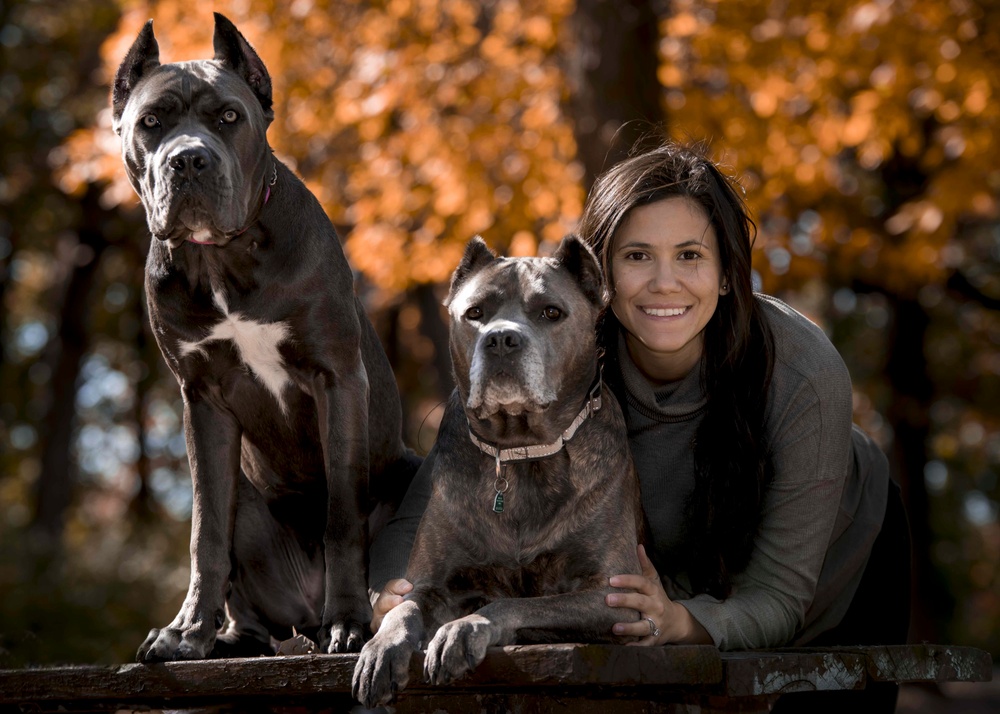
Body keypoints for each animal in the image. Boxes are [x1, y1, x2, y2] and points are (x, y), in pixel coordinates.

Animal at [112, 12, 418, 656]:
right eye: (151, 123)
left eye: (229, 116)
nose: (188, 160)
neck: (222, 260)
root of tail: (304, 612)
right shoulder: (202, 397)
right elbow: (206, 530)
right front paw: (186, 631)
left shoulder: (337, 377)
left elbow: (342, 517)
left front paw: (349, 620)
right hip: (250, 506)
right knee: (241, 581)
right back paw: (227, 636)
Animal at [356, 235, 644, 708]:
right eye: (474, 313)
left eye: (551, 312)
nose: (502, 339)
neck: (517, 452)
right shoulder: (430, 583)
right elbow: (404, 608)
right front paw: (381, 648)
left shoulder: (616, 593)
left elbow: (521, 604)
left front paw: (463, 629)